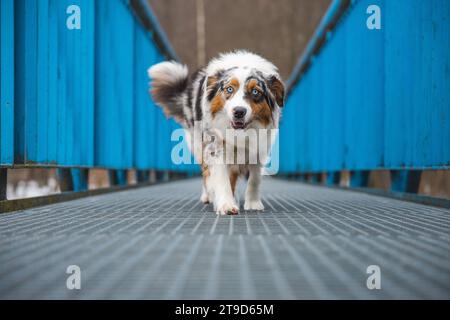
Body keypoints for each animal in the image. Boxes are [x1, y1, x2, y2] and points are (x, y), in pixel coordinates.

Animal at [149, 50, 286, 215]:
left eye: (255, 92)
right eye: (229, 89)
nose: (239, 112)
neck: (240, 133)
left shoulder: (260, 148)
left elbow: (255, 179)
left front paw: (253, 203)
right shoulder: (215, 147)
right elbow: (220, 177)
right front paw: (226, 204)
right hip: (198, 144)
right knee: (206, 173)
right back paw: (209, 196)